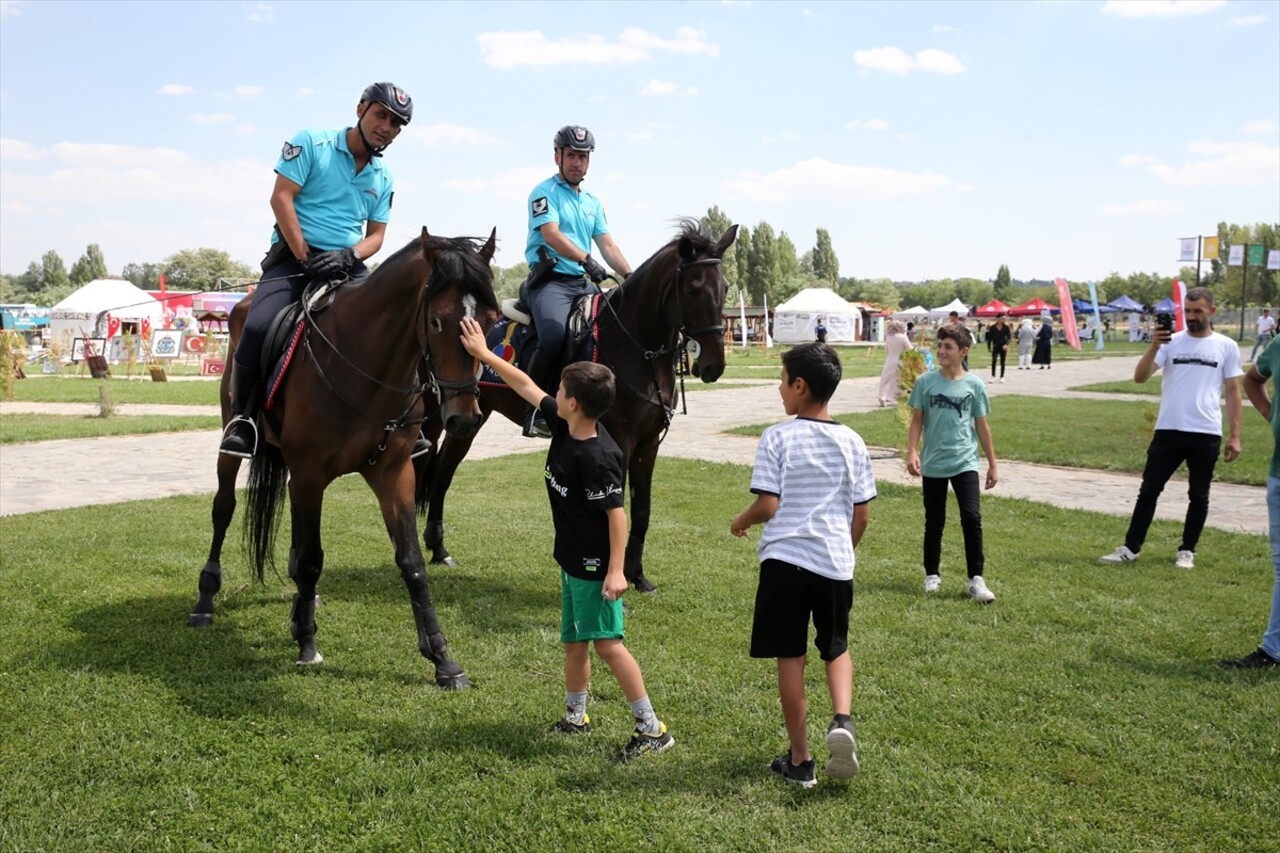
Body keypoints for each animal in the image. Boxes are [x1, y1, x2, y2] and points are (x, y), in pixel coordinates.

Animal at [189, 229, 499, 686]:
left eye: (491, 321)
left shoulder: (393, 474)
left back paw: (302, 607)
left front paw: (442, 658)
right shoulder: (310, 473)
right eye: (437, 321)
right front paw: (308, 645)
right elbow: (312, 559)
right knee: (224, 509)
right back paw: (205, 601)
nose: (464, 418)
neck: (364, 366)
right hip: (239, 441)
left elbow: (411, 563)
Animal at [419, 219, 742, 591]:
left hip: (472, 417)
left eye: (725, 287)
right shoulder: (620, 439)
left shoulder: (648, 444)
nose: (713, 366)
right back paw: (435, 547)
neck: (636, 348)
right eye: (693, 289)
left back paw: (438, 548)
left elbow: (642, 510)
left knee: (444, 471)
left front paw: (637, 575)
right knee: (436, 472)